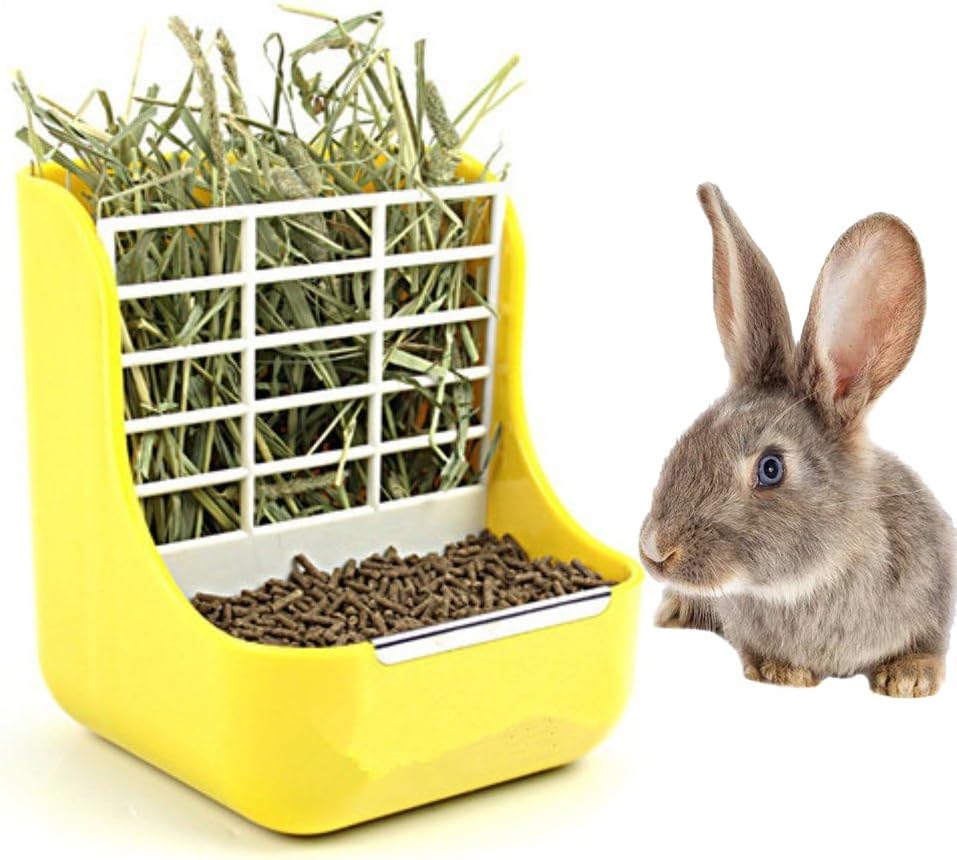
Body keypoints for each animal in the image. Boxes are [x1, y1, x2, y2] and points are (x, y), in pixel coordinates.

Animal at [639, 183, 955, 697]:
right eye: (686, 442)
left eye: (771, 469)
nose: (655, 551)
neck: (816, 575)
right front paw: (781, 671)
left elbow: (928, 645)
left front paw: (909, 678)